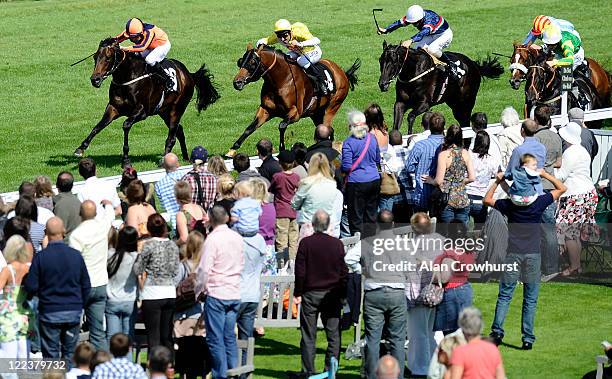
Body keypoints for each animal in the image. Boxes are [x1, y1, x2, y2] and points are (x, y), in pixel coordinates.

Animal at [76, 37, 220, 166]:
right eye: (95, 57)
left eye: (108, 57)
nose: (95, 80)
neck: (128, 77)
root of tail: (189, 74)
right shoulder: (113, 108)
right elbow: (98, 126)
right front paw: (80, 148)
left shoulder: (142, 112)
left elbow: (126, 125)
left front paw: (125, 160)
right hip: (164, 111)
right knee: (179, 130)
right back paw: (185, 157)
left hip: (177, 109)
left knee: (172, 137)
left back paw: (165, 159)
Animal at [227, 44, 358, 156]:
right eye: (240, 61)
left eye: (252, 62)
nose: (237, 82)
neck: (281, 80)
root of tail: (342, 72)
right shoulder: (266, 110)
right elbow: (250, 128)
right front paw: (232, 149)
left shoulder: (295, 113)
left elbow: (281, 125)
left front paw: (282, 148)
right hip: (315, 113)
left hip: (332, 106)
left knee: (328, 127)